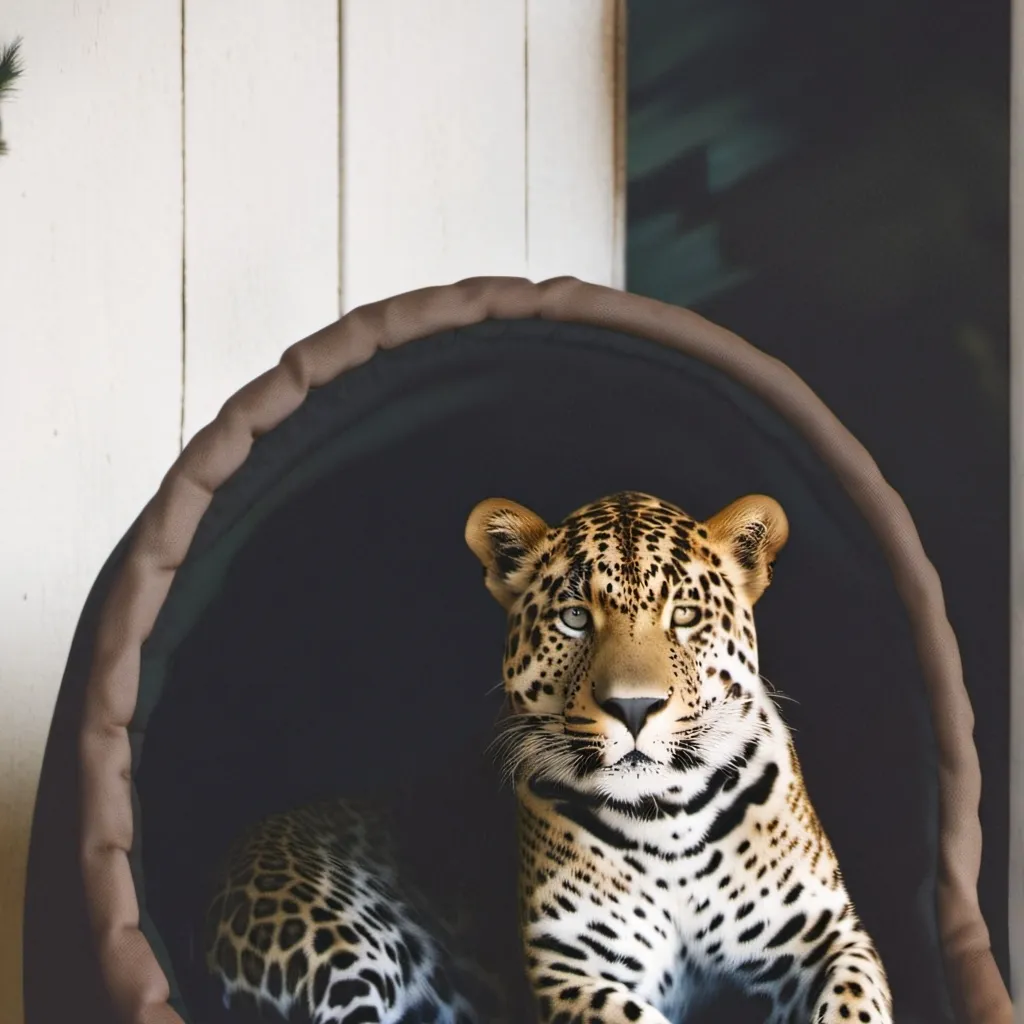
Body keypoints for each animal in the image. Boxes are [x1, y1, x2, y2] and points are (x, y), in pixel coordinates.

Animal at [463, 489, 894, 1024]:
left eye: (684, 615)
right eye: (575, 618)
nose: (633, 707)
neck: (666, 821)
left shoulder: (825, 931)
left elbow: (854, 1001)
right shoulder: (569, 967)